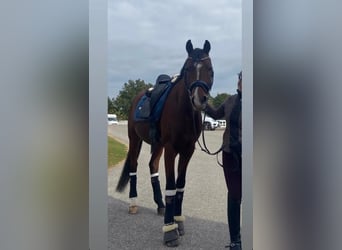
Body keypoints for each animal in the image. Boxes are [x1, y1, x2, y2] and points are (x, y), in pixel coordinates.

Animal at [116, 40, 215, 247]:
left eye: (210, 69)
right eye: (188, 69)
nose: (198, 99)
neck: (183, 112)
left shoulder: (187, 151)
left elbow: (180, 186)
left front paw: (178, 221)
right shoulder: (171, 150)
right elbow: (170, 186)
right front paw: (170, 230)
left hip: (157, 145)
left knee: (152, 166)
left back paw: (160, 205)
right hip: (135, 140)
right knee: (134, 167)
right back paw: (133, 203)